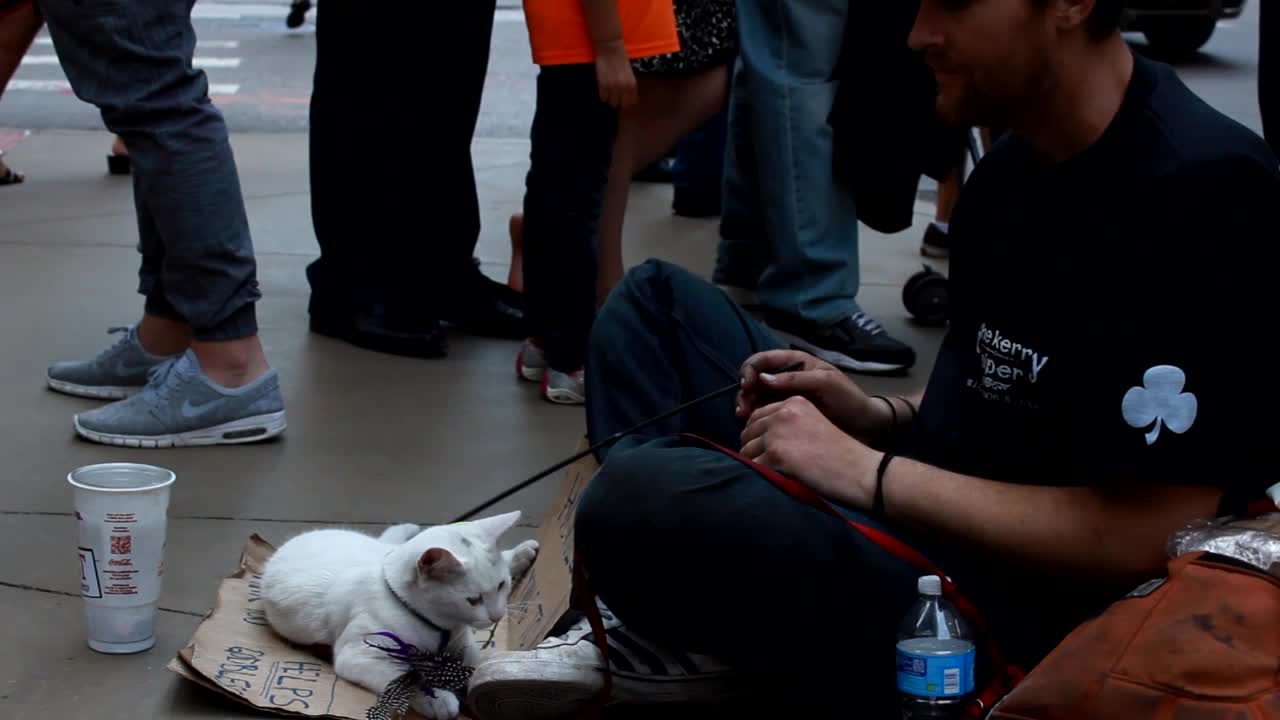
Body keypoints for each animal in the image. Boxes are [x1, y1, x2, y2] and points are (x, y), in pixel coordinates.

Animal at [259, 509, 540, 717]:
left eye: (502, 585)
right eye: (473, 600)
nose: (497, 616)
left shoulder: (464, 642)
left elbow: (475, 662)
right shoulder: (359, 655)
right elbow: (403, 677)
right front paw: (437, 699)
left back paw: (521, 553)